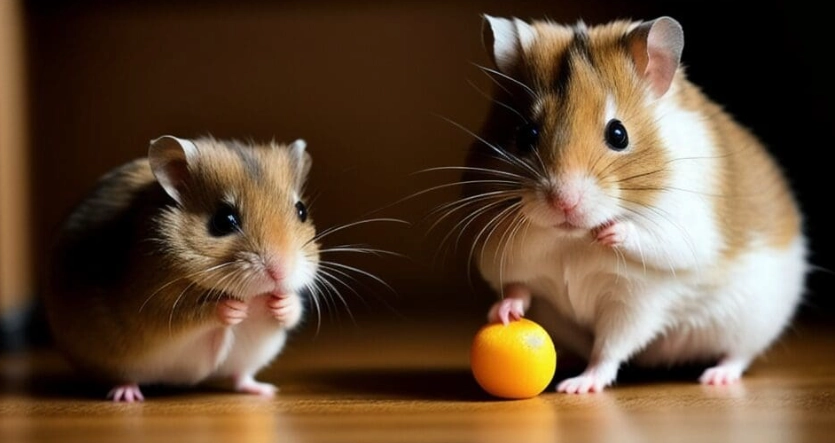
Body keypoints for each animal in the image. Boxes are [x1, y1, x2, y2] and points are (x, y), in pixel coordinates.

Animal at [44, 135, 319, 401]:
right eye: (223, 220)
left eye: (301, 211)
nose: (280, 272)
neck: (251, 295)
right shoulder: (155, 308)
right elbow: (195, 314)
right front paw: (234, 309)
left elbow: (294, 310)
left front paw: (279, 303)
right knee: (124, 377)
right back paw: (127, 396)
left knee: (241, 377)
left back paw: (265, 391)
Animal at [462, 15, 809, 393]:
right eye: (526, 134)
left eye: (618, 134)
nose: (563, 202)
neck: (570, 240)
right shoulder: (521, 268)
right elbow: (518, 290)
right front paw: (503, 314)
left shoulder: (637, 297)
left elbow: (610, 347)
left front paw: (578, 387)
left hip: (751, 320)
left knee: (739, 354)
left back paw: (714, 378)